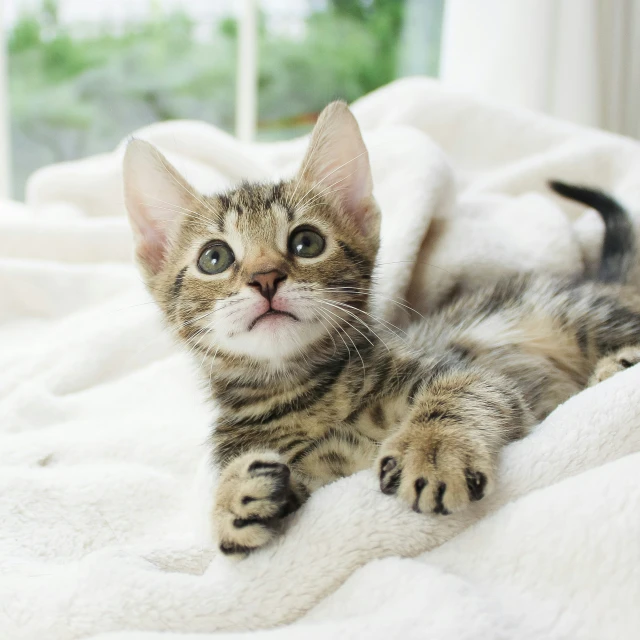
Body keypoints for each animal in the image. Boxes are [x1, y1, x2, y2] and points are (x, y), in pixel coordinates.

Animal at [124, 100, 640, 556]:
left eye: (306, 242)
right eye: (215, 258)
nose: (265, 278)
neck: (300, 390)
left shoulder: (473, 372)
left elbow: (460, 393)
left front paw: (432, 449)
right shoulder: (316, 467)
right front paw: (233, 499)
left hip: (572, 314)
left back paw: (617, 365)